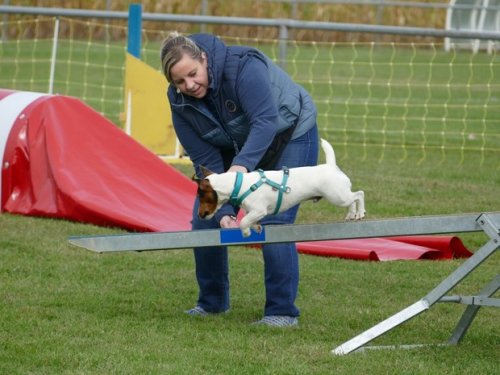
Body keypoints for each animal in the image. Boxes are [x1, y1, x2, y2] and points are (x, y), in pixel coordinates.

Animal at [194, 138, 364, 238]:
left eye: (202, 196)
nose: (200, 215)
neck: (237, 184)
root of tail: (330, 165)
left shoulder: (259, 210)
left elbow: (243, 221)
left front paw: (246, 231)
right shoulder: (253, 212)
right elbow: (249, 219)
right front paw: (255, 227)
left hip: (337, 196)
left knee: (359, 194)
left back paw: (360, 212)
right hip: (341, 195)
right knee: (352, 200)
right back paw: (351, 214)